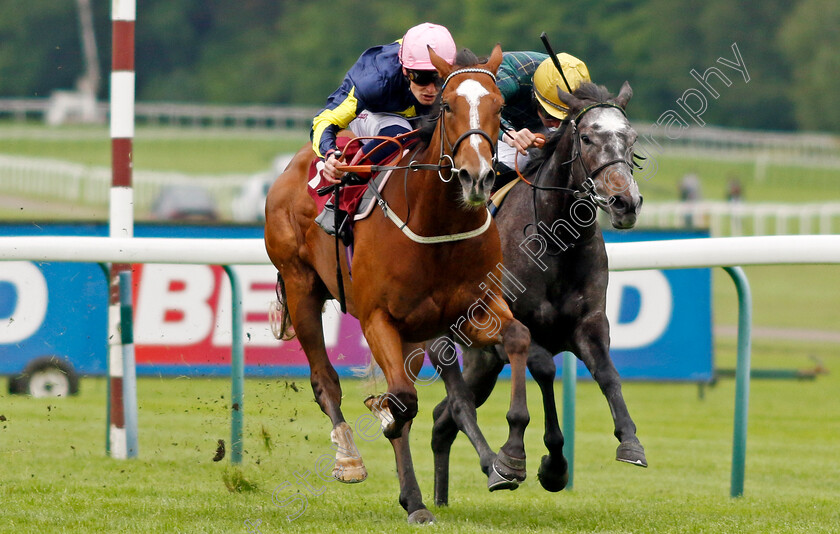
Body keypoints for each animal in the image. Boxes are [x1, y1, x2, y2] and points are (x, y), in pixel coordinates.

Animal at [264, 45, 532, 524]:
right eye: (448, 106)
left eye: (500, 107)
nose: (477, 177)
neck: (436, 222)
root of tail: (292, 168)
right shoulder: (377, 318)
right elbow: (402, 402)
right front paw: (411, 489)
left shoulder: (473, 309)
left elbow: (518, 337)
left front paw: (511, 458)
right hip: (301, 287)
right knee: (324, 379)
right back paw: (351, 459)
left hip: (414, 333)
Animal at [430, 80, 648, 506]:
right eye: (586, 137)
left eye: (630, 138)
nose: (624, 203)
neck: (556, 240)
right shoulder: (513, 327)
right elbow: (545, 371)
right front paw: (530, 459)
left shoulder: (589, 323)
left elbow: (608, 374)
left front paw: (629, 441)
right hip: (442, 339)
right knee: (457, 406)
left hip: (481, 362)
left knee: (441, 419)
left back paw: (440, 498)